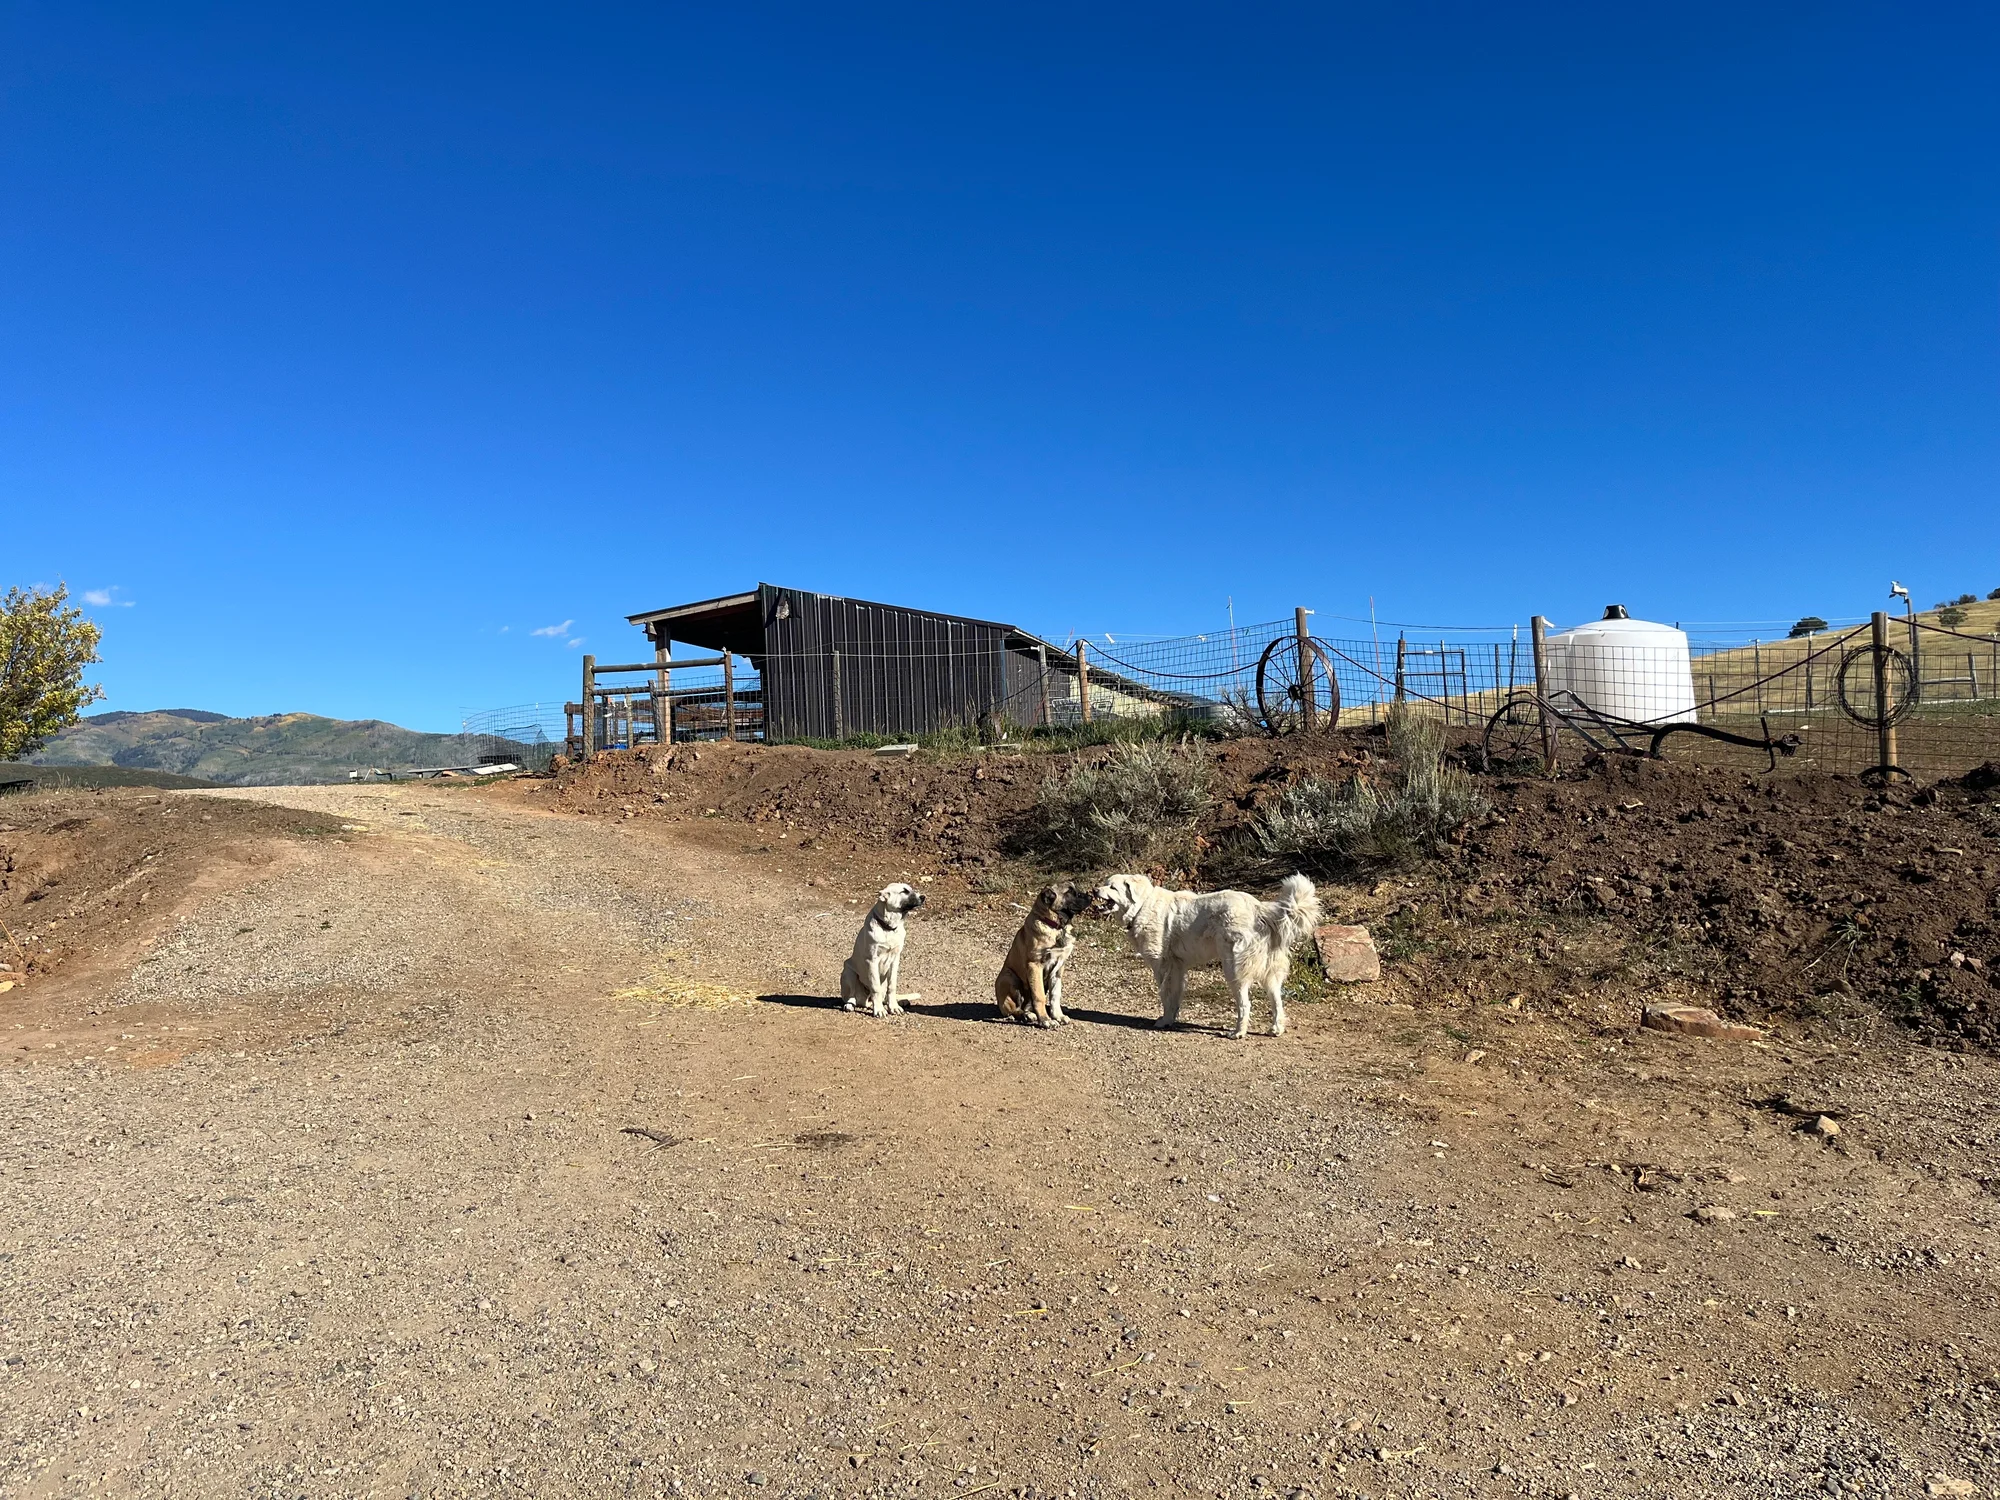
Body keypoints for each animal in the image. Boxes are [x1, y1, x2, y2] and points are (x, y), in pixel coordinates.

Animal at [840, 880, 924, 1024]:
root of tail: (865, 1000)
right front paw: (879, 1010)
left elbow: (892, 986)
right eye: (904, 891)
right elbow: (875, 988)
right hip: (848, 972)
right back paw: (850, 1005)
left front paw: (893, 1007)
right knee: (852, 996)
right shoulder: (872, 961)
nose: (923, 897)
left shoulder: (895, 960)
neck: (888, 928)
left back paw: (902, 1001)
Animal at [988, 888, 1088, 1032]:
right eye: (1070, 892)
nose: (1090, 896)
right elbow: (1039, 996)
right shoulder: (1035, 965)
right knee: (1013, 1009)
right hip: (1008, 977)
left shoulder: (1058, 968)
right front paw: (1046, 1020)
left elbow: (1055, 995)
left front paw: (1058, 1016)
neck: (1056, 926)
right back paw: (1026, 1015)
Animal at [1088, 876, 1320, 1040]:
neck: (1142, 906)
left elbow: (1165, 996)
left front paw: (1164, 1021)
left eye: (1112, 887)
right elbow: (1174, 997)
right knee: (1277, 1000)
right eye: (1105, 883)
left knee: (1245, 1004)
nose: (1093, 890)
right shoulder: (1177, 969)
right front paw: (1171, 1019)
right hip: (1269, 973)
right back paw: (1276, 1029)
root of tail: (1258, 908)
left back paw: (1238, 1032)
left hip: (1233, 969)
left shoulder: (1162, 968)